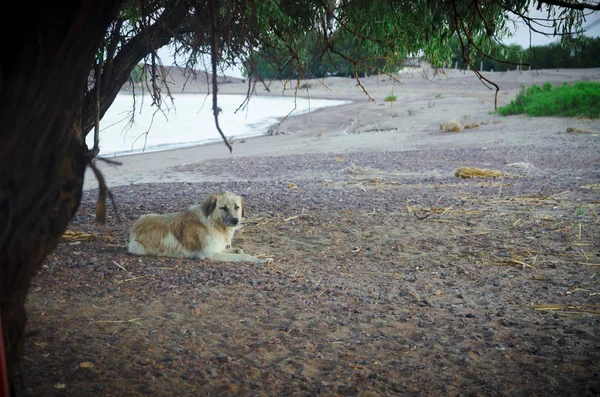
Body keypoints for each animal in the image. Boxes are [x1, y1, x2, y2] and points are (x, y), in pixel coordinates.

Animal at [128, 190, 270, 262]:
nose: (235, 220)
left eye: (237, 207)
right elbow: (243, 256)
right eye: (223, 208)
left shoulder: (217, 249)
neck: (213, 223)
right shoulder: (209, 253)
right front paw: (262, 260)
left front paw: (237, 250)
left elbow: (239, 251)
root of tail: (134, 227)